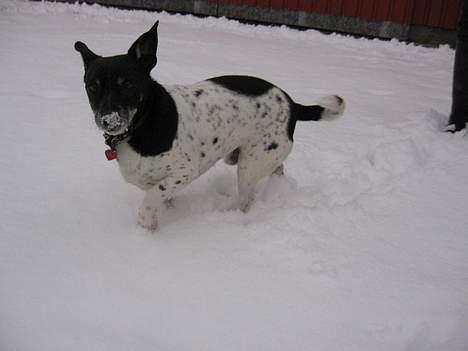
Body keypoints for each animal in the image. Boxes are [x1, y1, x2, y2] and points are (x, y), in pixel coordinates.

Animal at [76, 21, 344, 231]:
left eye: (128, 84)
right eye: (92, 86)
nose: (108, 119)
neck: (142, 123)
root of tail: (292, 104)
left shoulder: (185, 170)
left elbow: (153, 196)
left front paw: (145, 229)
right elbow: (157, 192)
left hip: (249, 166)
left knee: (247, 199)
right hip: (255, 156)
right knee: (278, 169)